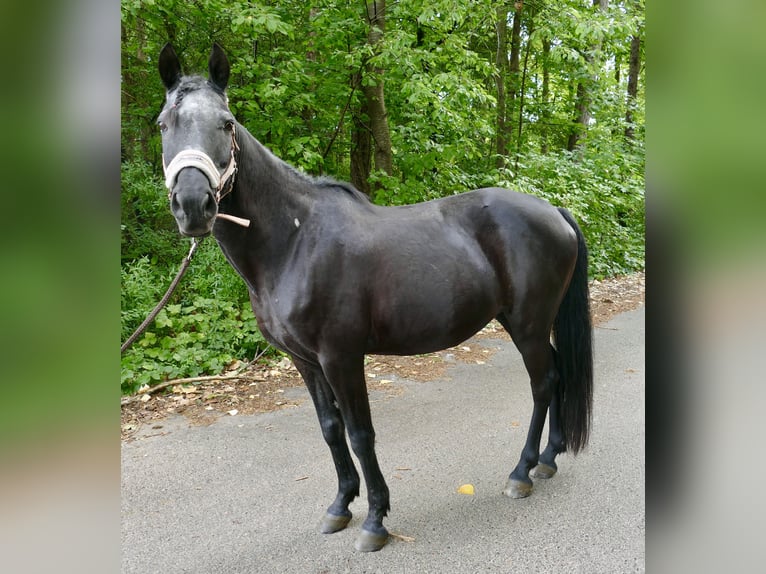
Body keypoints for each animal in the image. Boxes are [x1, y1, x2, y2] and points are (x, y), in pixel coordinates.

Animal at [156, 43, 593, 552]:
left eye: (226, 122)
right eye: (163, 124)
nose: (193, 205)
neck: (295, 240)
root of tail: (554, 211)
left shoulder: (341, 356)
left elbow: (361, 434)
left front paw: (375, 520)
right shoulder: (305, 361)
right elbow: (331, 430)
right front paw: (340, 506)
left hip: (527, 324)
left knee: (544, 383)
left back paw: (522, 471)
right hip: (529, 324)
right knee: (558, 374)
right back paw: (548, 459)